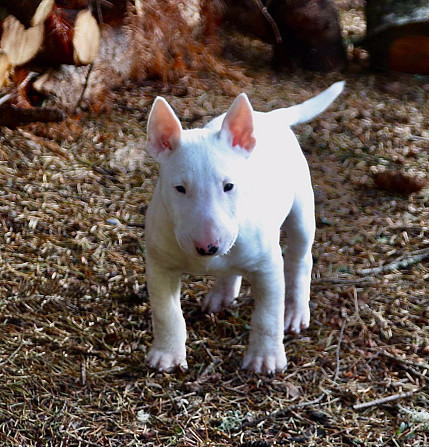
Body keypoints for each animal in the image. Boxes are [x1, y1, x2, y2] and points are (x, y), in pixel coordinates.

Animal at [144, 81, 344, 374]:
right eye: (179, 188)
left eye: (229, 186)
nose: (208, 247)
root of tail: (269, 116)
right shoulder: (160, 264)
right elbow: (165, 312)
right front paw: (167, 355)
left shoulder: (268, 267)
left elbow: (268, 316)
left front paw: (265, 359)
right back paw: (221, 296)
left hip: (302, 210)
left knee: (300, 259)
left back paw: (295, 312)